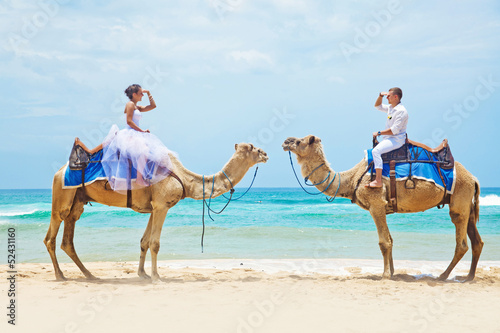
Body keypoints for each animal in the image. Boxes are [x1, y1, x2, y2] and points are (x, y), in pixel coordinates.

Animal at [45, 142, 268, 280]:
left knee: (68, 239)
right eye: (253, 148)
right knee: (51, 236)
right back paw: (60, 275)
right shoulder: (161, 206)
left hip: (78, 200)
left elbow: (144, 241)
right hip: (62, 194)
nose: (265, 154)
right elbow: (155, 243)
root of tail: (58, 171)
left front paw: (143, 274)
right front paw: (155, 277)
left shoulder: (154, 207)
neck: (185, 179)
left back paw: (90, 275)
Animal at [284, 135, 482, 280]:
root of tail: (473, 178)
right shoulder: (382, 207)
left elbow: (384, 242)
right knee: (477, 242)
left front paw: (385, 275)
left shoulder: (376, 204)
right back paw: (469, 277)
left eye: (299, 141)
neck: (352, 178)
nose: (286, 141)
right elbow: (391, 240)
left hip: (460, 197)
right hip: (468, 203)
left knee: (461, 242)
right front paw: (392, 273)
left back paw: (443, 276)